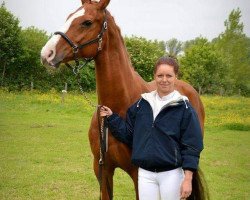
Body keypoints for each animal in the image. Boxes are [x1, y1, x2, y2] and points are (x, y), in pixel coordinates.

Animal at [41, 0, 208, 199]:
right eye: (68, 17)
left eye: (87, 22)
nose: (47, 53)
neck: (117, 109)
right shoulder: (102, 170)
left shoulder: (138, 175)